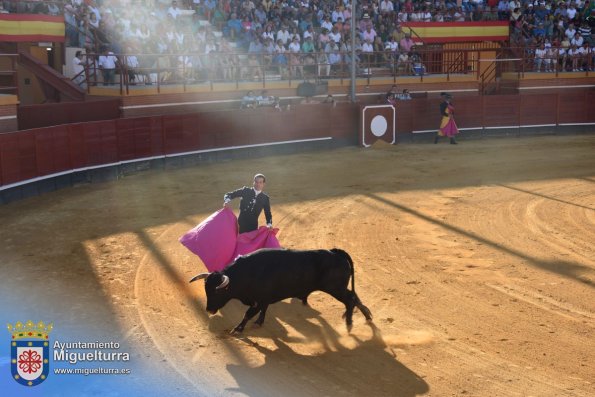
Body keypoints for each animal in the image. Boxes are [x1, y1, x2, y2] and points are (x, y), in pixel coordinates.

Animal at [190, 248, 372, 332]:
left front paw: (238, 329)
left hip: (334, 288)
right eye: (206, 289)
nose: (209, 309)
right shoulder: (264, 299)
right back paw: (366, 315)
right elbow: (263, 310)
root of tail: (335, 251)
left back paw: (349, 322)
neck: (247, 273)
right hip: (339, 287)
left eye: (218, 291)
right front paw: (258, 323)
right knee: (354, 296)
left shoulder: (258, 300)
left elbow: (248, 314)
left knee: (350, 300)